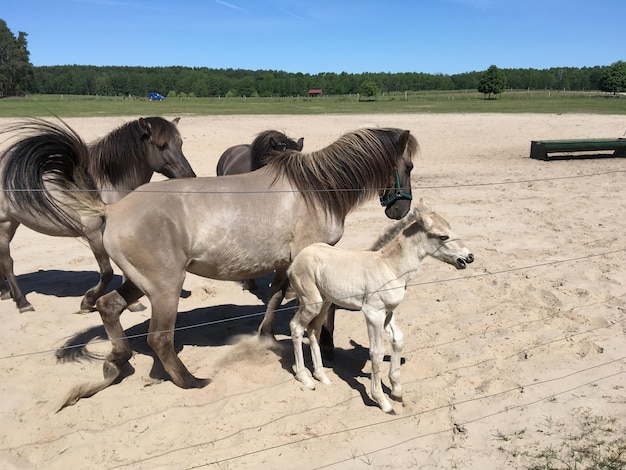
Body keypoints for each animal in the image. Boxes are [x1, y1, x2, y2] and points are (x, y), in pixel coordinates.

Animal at [0, 117, 195, 314]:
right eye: (162, 145)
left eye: (180, 143)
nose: (189, 176)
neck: (105, 184)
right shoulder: (93, 233)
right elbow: (107, 271)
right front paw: (87, 302)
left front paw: (132, 304)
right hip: (5, 224)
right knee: (7, 262)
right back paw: (23, 302)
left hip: (12, 223)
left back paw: (5, 293)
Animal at [48, 126, 416, 410]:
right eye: (409, 165)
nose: (400, 210)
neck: (316, 190)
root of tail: (113, 209)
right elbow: (323, 310)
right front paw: (325, 345)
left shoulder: (287, 265)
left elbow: (275, 298)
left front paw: (267, 337)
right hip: (165, 287)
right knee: (159, 338)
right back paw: (189, 380)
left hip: (140, 283)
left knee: (109, 307)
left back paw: (116, 362)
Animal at [288, 200, 472, 414]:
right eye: (443, 236)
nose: (468, 257)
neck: (390, 267)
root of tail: (294, 263)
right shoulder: (373, 314)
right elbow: (376, 353)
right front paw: (382, 401)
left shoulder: (388, 312)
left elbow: (398, 340)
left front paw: (397, 391)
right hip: (312, 302)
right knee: (296, 327)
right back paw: (305, 379)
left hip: (325, 303)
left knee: (313, 331)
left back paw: (322, 376)